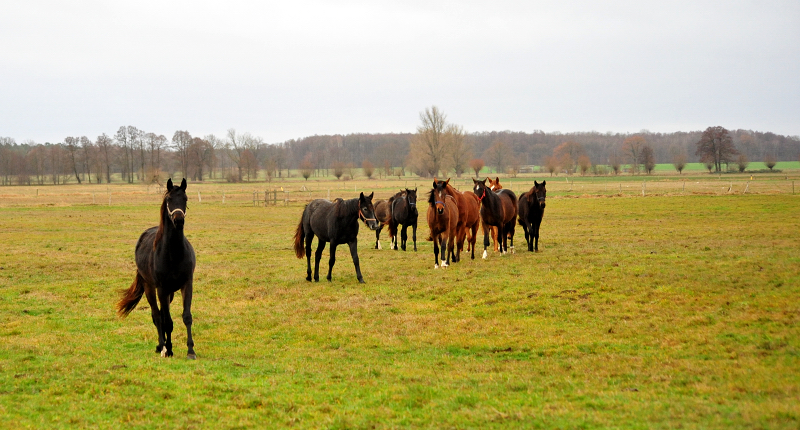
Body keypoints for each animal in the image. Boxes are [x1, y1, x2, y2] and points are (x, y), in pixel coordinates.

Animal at [115, 178, 197, 360]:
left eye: (185, 198)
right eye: (169, 200)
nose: (178, 220)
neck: (173, 253)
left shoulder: (186, 284)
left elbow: (186, 317)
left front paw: (190, 351)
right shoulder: (162, 288)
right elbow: (166, 321)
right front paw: (168, 349)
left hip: (169, 293)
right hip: (150, 288)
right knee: (157, 315)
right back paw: (162, 346)